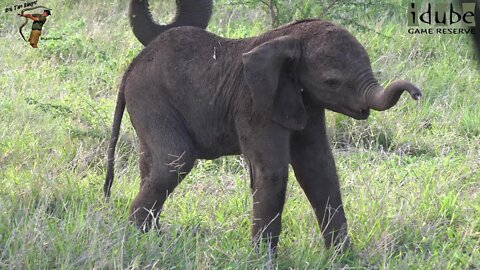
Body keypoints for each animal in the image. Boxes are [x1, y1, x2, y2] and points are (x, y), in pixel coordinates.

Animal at [104, 0, 420, 252]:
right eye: (332, 82)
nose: (417, 93)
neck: (287, 39)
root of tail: (133, 64)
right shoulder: (253, 103)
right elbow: (272, 172)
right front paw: (261, 260)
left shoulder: (305, 102)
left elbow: (319, 169)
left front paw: (342, 258)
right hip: (150, 97)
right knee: (175, 160)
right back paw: (141, 237)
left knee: (152, 164)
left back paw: (152, 237)